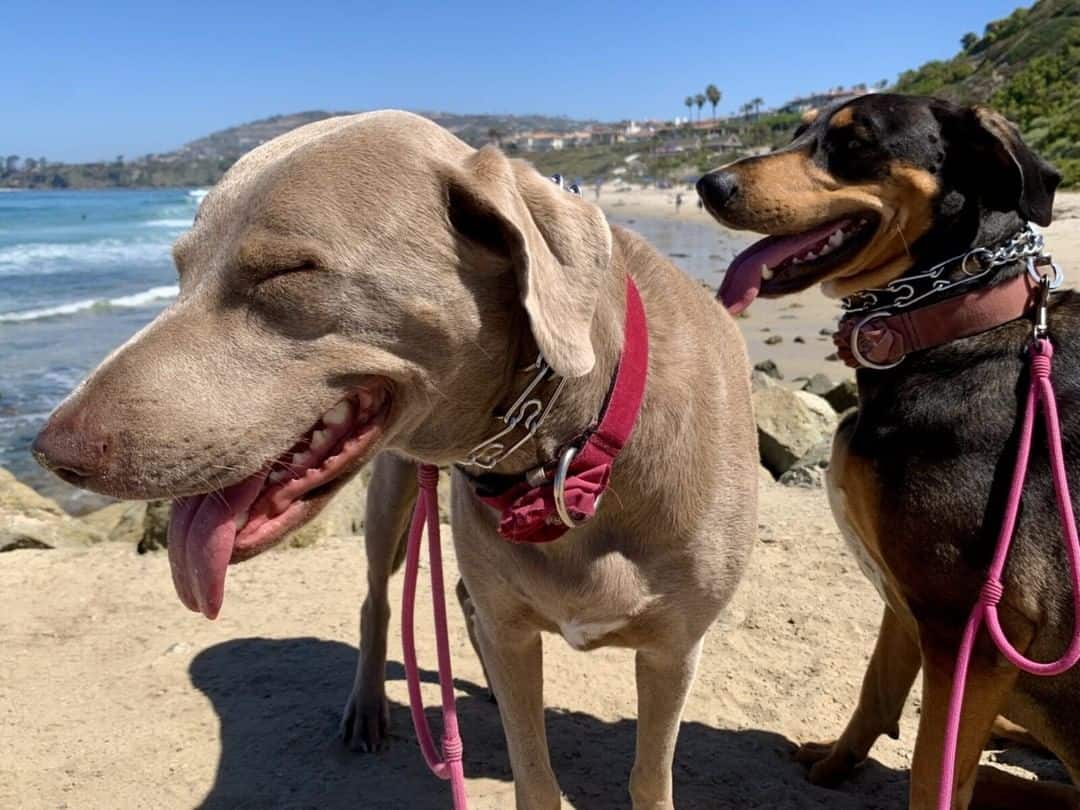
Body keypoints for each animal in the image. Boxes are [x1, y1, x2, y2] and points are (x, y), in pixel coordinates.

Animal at [35, 112, 760, 810]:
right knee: (380, 602)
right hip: (393, 496)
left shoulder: (673, 651)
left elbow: (648, 778)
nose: (51, 450)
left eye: (285, 271)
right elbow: (535, 777)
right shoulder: (513, 627)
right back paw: (368, 708)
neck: (569, 452)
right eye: (179, 270)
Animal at [695, 91, 1075, 807]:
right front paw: (834, 763)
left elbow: (934, 772)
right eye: (799, 131)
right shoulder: (907, 596)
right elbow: (876, 689)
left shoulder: (973, 624)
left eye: (855, 143)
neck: (953, 323)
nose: (708, 184)